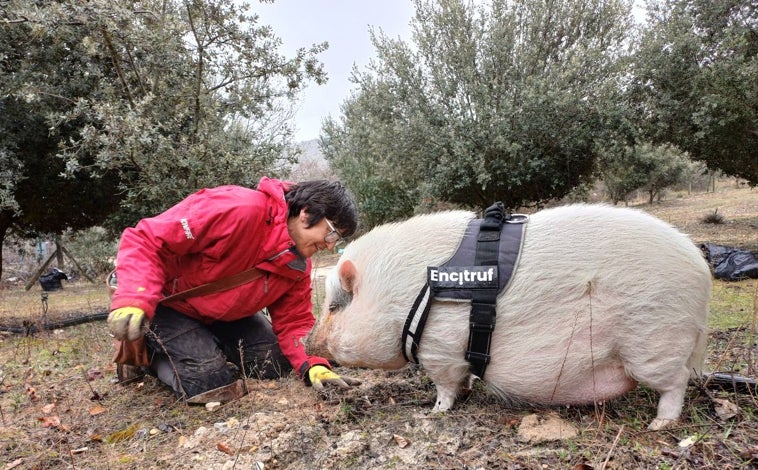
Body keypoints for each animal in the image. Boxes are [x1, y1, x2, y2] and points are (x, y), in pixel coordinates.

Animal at [308, 204, 712, 432]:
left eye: (334, 308)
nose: (306, 339)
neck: (401, 298)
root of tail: (701, 271)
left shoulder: (441, 350)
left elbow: (445, 386)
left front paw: (434, 414)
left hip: (653, 341)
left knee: (676, 383)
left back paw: (659, 426)